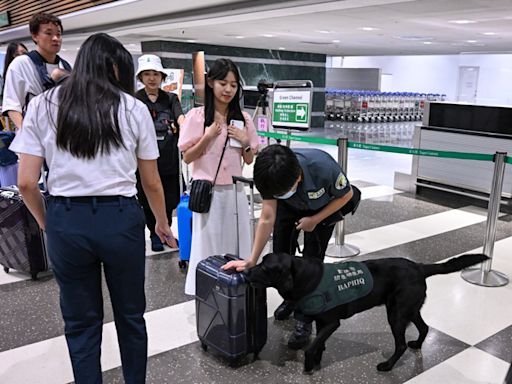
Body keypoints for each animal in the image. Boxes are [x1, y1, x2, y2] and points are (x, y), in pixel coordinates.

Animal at [247, 252, 488, 372]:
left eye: (265, 268)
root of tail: (419, 267)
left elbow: (311, 347)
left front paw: (308, 366)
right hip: (408, 309)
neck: (306, 277)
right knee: (424, 327)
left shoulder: (332, 323)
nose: (247, 271)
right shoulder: (321, 322)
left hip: (396, 314)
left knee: (400, 344)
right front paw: (317, 362)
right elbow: (319, 344)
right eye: (260, 262)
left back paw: (387, 366)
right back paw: (417, 345)